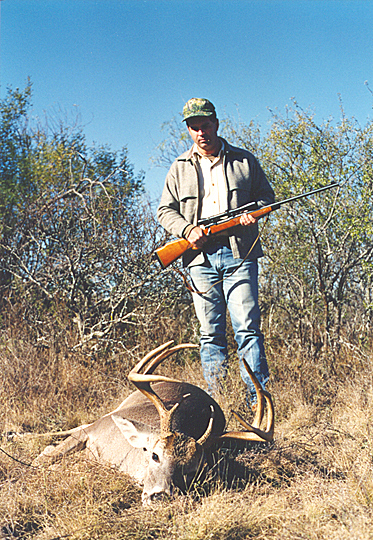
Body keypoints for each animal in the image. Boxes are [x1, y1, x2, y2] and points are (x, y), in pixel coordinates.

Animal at [33, 342, 274, 506]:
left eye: (193, 469)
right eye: (155, 455)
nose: (159, 496)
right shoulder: (93, 429)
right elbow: (42, 459)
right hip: (107, 414)